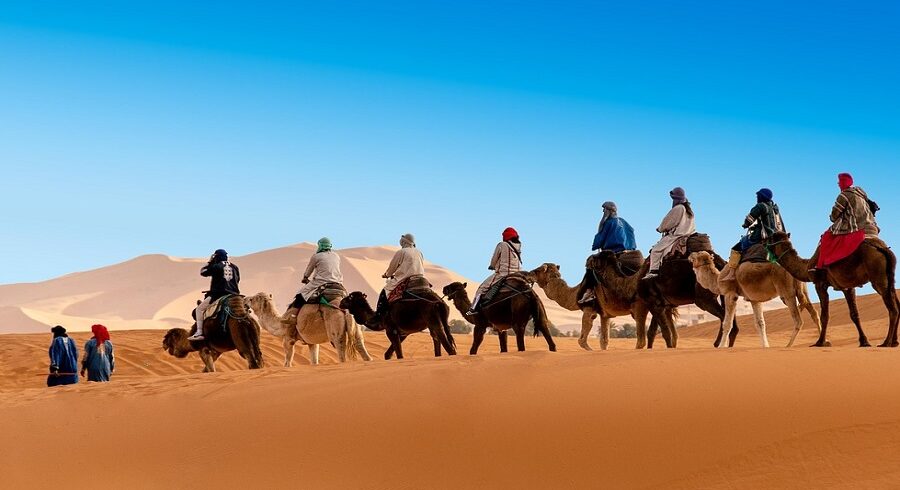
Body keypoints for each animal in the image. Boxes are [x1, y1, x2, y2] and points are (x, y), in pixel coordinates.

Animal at [588, 253, 736, 348]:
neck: (634, 282)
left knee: (724, 317)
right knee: (729, 316)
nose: (587, 260)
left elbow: (665, 332)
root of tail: (722, 263)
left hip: (704, 298)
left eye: (597, 257)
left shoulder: (654, 304)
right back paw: (725, 344)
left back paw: (720, 344)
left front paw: (669, 347)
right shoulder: (660, 305)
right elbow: (652, 332)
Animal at [688, 253, 824, 348]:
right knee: (813, 312)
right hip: (802, 288)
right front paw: (765, 346)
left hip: (787, 292)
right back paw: (821, 341)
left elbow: (727, 323)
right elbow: (760, 323)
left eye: (696, 256)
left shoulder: (730, 294)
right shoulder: (754, 299)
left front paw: (721, 346)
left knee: (798, 320)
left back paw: (788, 345)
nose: (689, 255)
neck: (717, 280)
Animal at [764, 232, 896, 346]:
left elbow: (825, 315)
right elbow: (854, 314)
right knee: (896, 303)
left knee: (892, 309)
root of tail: (883, 248)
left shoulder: (820, 284)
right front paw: (864, 342)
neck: (806, 266)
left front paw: (820, 342)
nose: (763, 241)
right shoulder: (847, 287)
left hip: (878, 277)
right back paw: (894, 342)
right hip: (889, 277)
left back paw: (886, 343)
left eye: (770, 238)